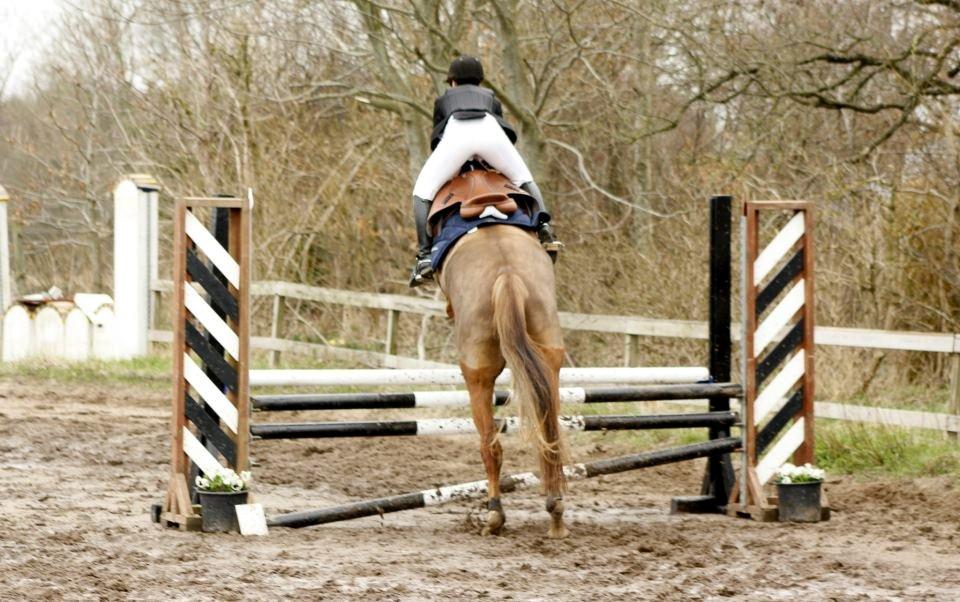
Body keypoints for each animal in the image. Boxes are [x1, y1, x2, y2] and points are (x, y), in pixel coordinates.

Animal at [436, 175, 568, 540]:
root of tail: (506, 273)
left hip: (476, 373)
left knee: (489, 445)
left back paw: (495, 515)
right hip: (548, 357)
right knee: (548, 431)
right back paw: (556, 513)